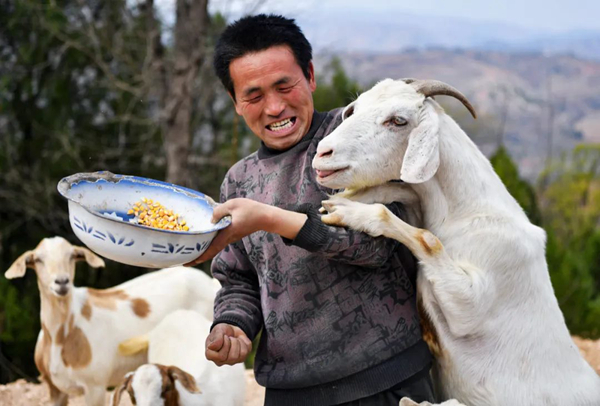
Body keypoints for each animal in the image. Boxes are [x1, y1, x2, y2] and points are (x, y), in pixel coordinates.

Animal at [5, 236, 220, 406]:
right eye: (37, 259)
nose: (62, 282)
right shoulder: (54, 389)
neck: (63, 336)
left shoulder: (95, 388)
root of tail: (210, 283)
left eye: (72, 256)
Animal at [312, 79, 600, 406]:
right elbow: (401, 192)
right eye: (354, 109)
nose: (323, 153)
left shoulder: (472, 301)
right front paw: (342, 200)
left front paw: (348, 210)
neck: (467, 214)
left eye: (398, 120)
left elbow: (427, 238)